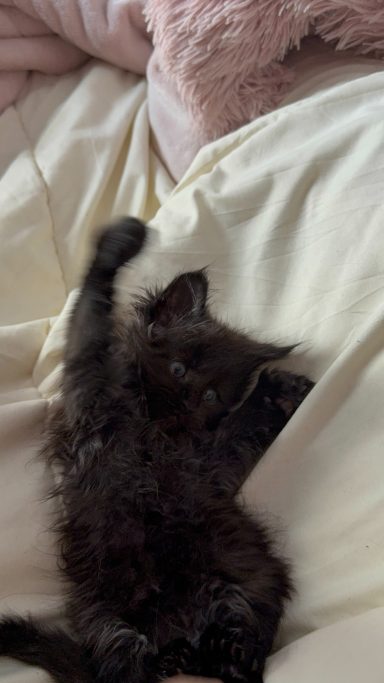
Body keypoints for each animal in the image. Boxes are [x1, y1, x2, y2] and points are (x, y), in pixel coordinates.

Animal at [0, 219, 312, 683]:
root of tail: (180, 626)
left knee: (238, 645)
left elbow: (239, 432)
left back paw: (224, 654)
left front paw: (280, 392)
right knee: (126, 668)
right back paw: (174, 658)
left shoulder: (210, 463)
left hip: (250, 577)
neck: (153, 431)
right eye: (179, 369)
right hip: (102, 614)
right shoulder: (89, 383)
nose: (187, 403)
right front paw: (119, 242)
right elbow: (90, 308)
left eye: (211, 396)